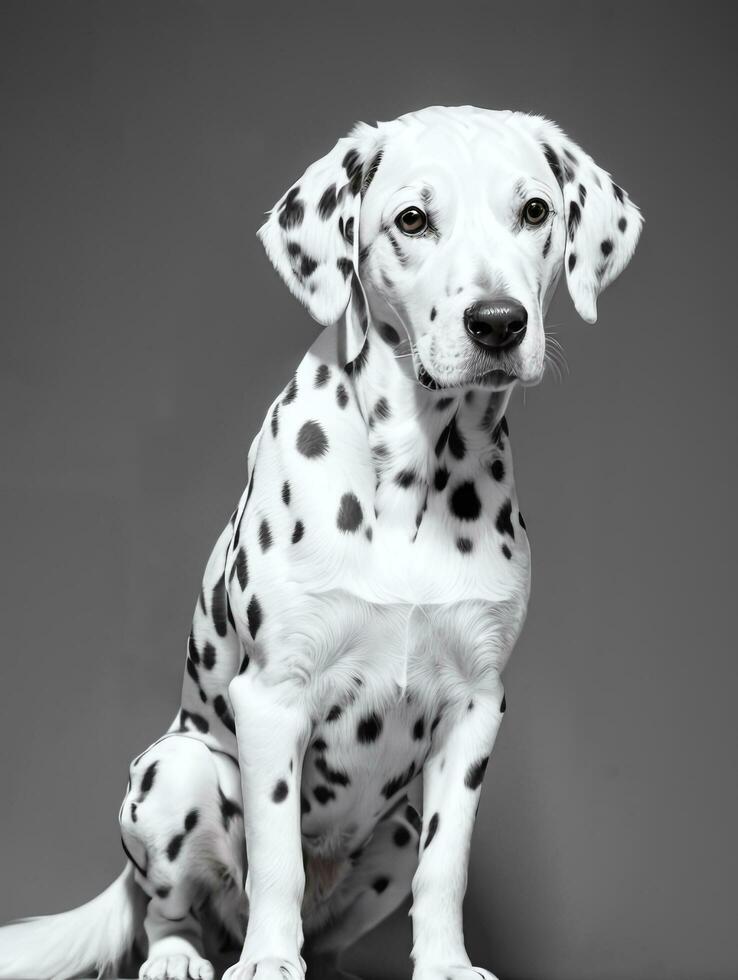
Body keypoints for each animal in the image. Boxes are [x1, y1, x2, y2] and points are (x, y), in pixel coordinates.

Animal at [0, 107, 640, 980]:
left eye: (536, 211)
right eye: (413, 219)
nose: (498, 322)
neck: (417, 474)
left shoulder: (476, 707)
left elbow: (448, 866)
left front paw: (446, 962)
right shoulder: (273, 698)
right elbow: (277, 859)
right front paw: (269, 960)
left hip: (393, 831)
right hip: (175, 772)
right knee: (169, 909)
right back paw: (182, 956)